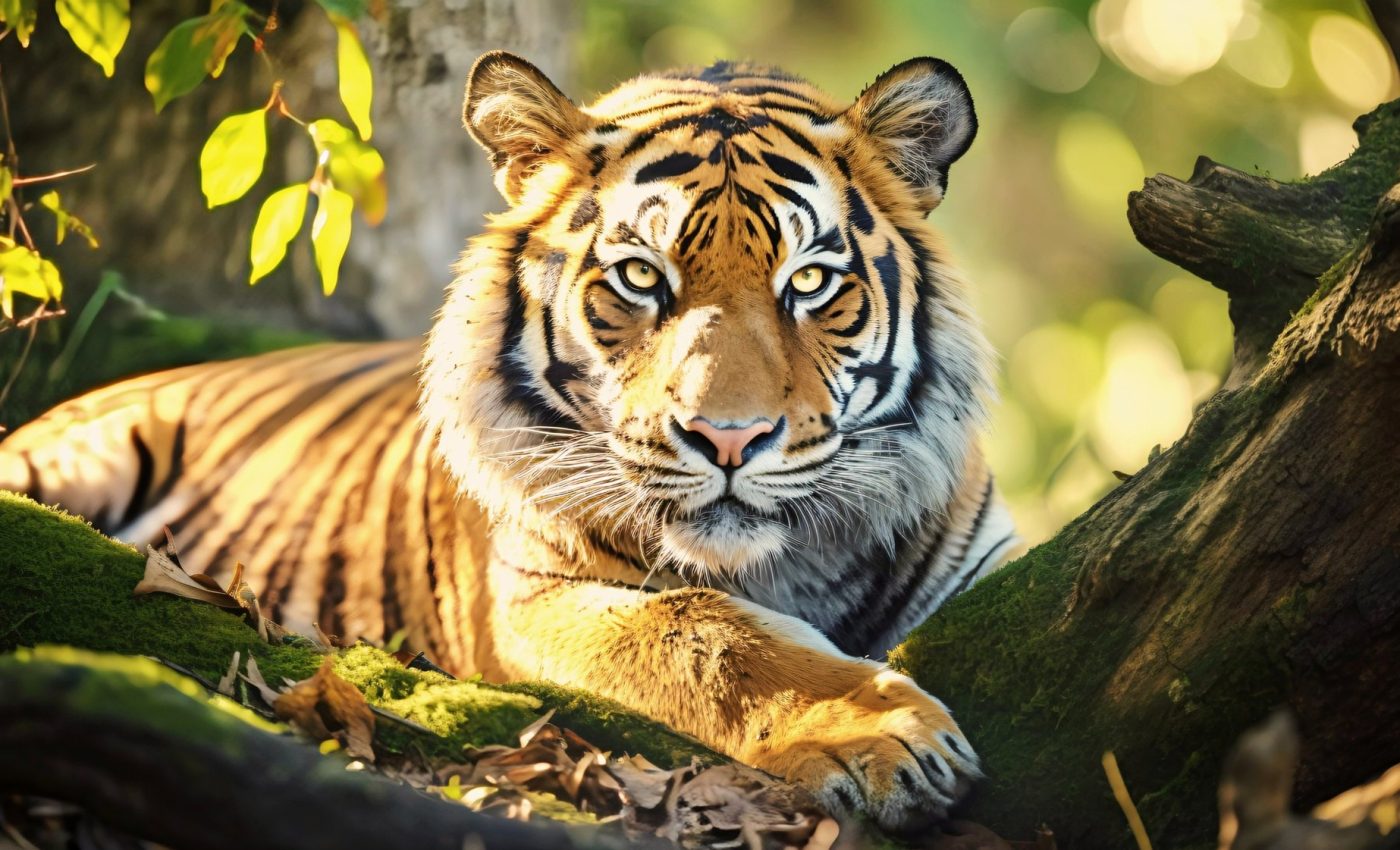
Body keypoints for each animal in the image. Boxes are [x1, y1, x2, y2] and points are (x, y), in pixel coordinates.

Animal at [0, 52, 1021, 831]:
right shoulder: (529, 597)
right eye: (640, 277)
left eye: (809, 282)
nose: (726, 439)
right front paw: (885, 739)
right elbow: (701, 632)